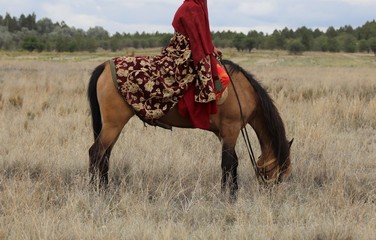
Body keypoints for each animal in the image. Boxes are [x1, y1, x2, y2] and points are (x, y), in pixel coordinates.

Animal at [88, 59, 294, 198]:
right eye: (281, 173)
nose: (273, 195)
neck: (243, 91)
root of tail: (105, 66)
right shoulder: (231, 129)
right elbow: (228, 163)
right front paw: (227, 195)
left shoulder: (224, 133)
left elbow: (233, 162)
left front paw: (233, 193)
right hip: (113, 125)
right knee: (96, 153)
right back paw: (94, 191)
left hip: (113, 127)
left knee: (105, 156)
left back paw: (105, 189)